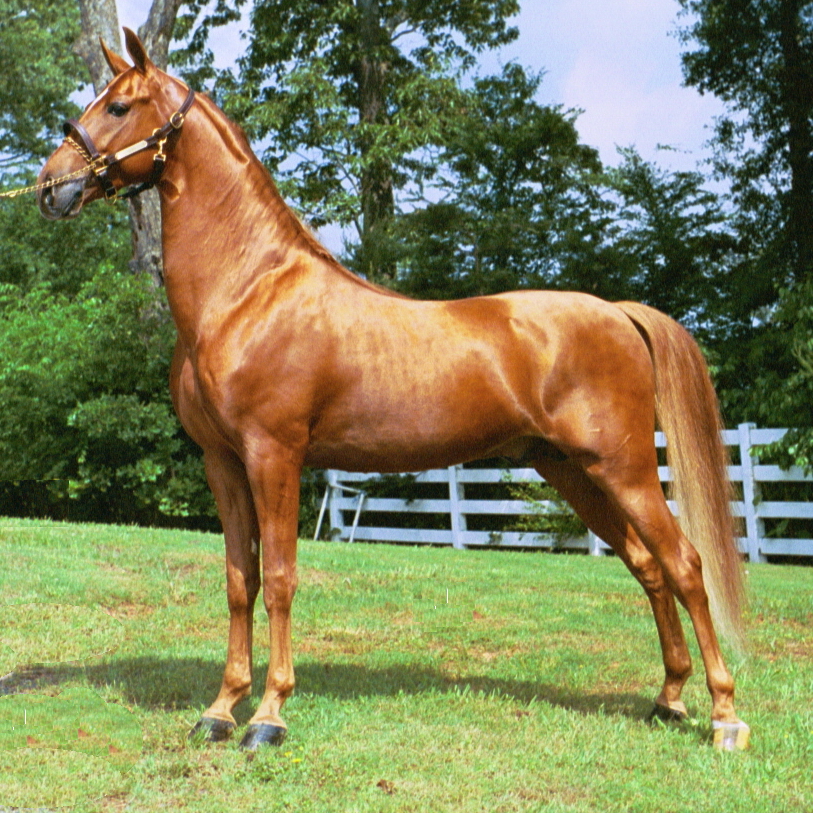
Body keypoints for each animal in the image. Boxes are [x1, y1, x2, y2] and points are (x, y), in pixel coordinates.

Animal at [38, 29, 749, 751]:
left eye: (119, 106)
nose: (49, 187)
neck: (247, 292)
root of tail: (617, 312)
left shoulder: (274, 455)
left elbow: (280, 579)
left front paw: (267, 715)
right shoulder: (223, 461)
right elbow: (240, 580)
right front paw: (220, 708)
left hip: (623, 467)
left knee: (685, 565)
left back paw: (724, 714)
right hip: (573, 471)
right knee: (647, 566)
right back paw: (668, 699)